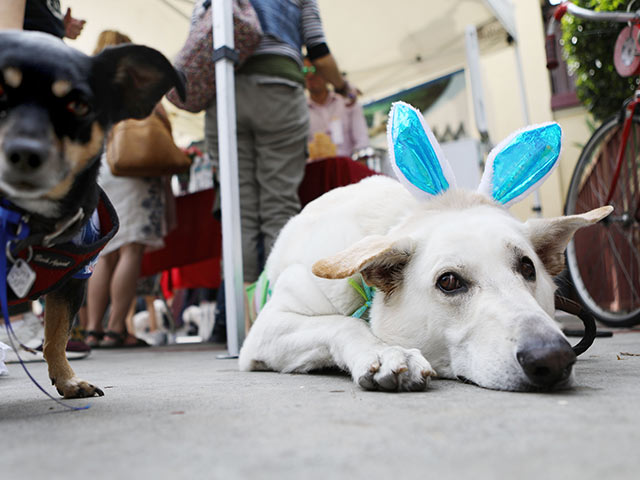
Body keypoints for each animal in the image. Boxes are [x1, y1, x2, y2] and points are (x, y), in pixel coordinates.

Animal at [0, 31, 185, 398]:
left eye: (79, 106)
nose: (25, 152)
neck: (30, 222)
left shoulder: (75, 279)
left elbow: (57, 335)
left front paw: (67, 380)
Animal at [238, 103, 612, 392]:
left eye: (527, 267)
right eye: (448, 282)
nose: (554, 357)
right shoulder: (267, 328)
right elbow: (342, 324)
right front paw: (386, 352)